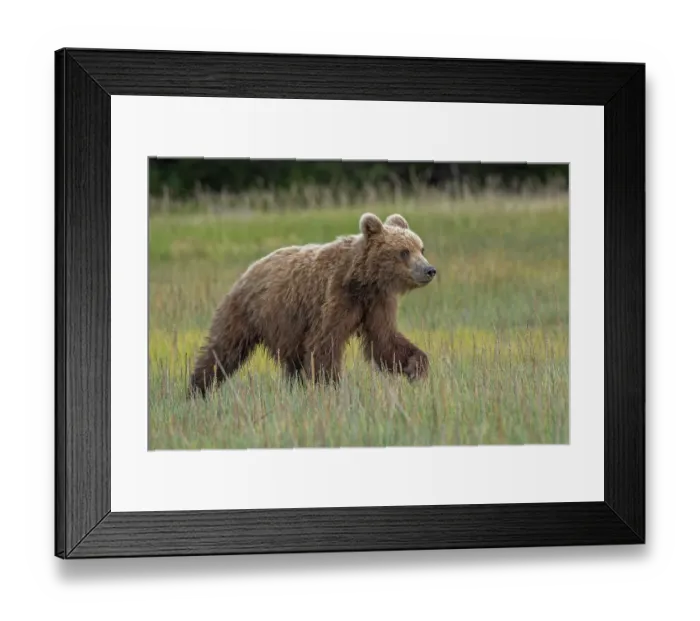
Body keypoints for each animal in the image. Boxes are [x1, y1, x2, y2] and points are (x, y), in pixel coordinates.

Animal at [189, 212, 437, 397]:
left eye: (421, 248)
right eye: (404, 252)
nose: (429, 270)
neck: (363, 281)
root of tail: (250, 269)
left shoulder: (377, 302)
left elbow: (385, 341)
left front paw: (417, 368)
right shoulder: (335, 297)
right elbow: (324, 344)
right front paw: (332, 389)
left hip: (287, 328)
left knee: (292, 364)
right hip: (248, 311)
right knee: (223, 350)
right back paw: (197, 388)